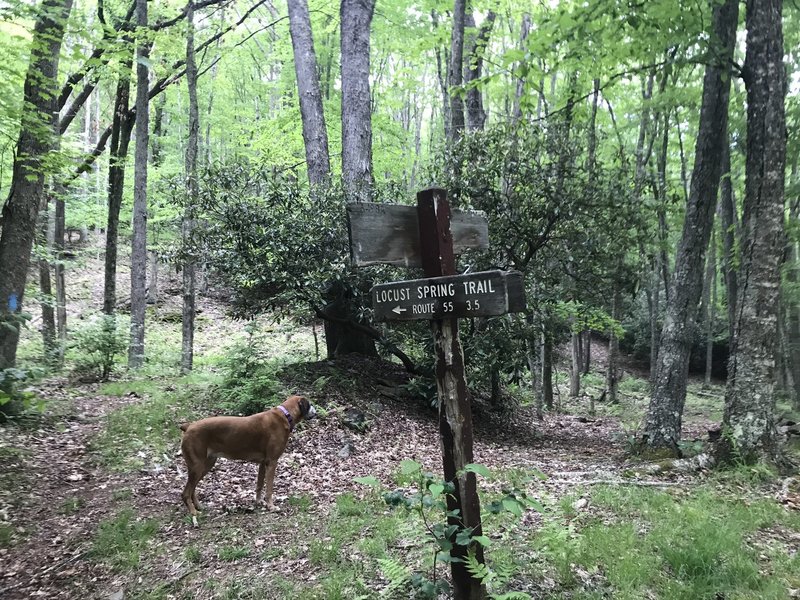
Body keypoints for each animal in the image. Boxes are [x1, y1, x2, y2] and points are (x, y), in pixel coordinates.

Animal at [178, 394, 316, 524]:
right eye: (309, 404)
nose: (316, 412)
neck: (285, 415)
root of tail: (189, 426)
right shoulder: (272, 462)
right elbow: (269, 489)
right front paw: (271, 506)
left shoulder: (263, 463)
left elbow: (259, 485)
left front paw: (259, 502)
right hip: (197, 467)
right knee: (185, 493)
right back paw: (194, 512)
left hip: (206, 465)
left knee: (192, 489)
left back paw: (199, 506)